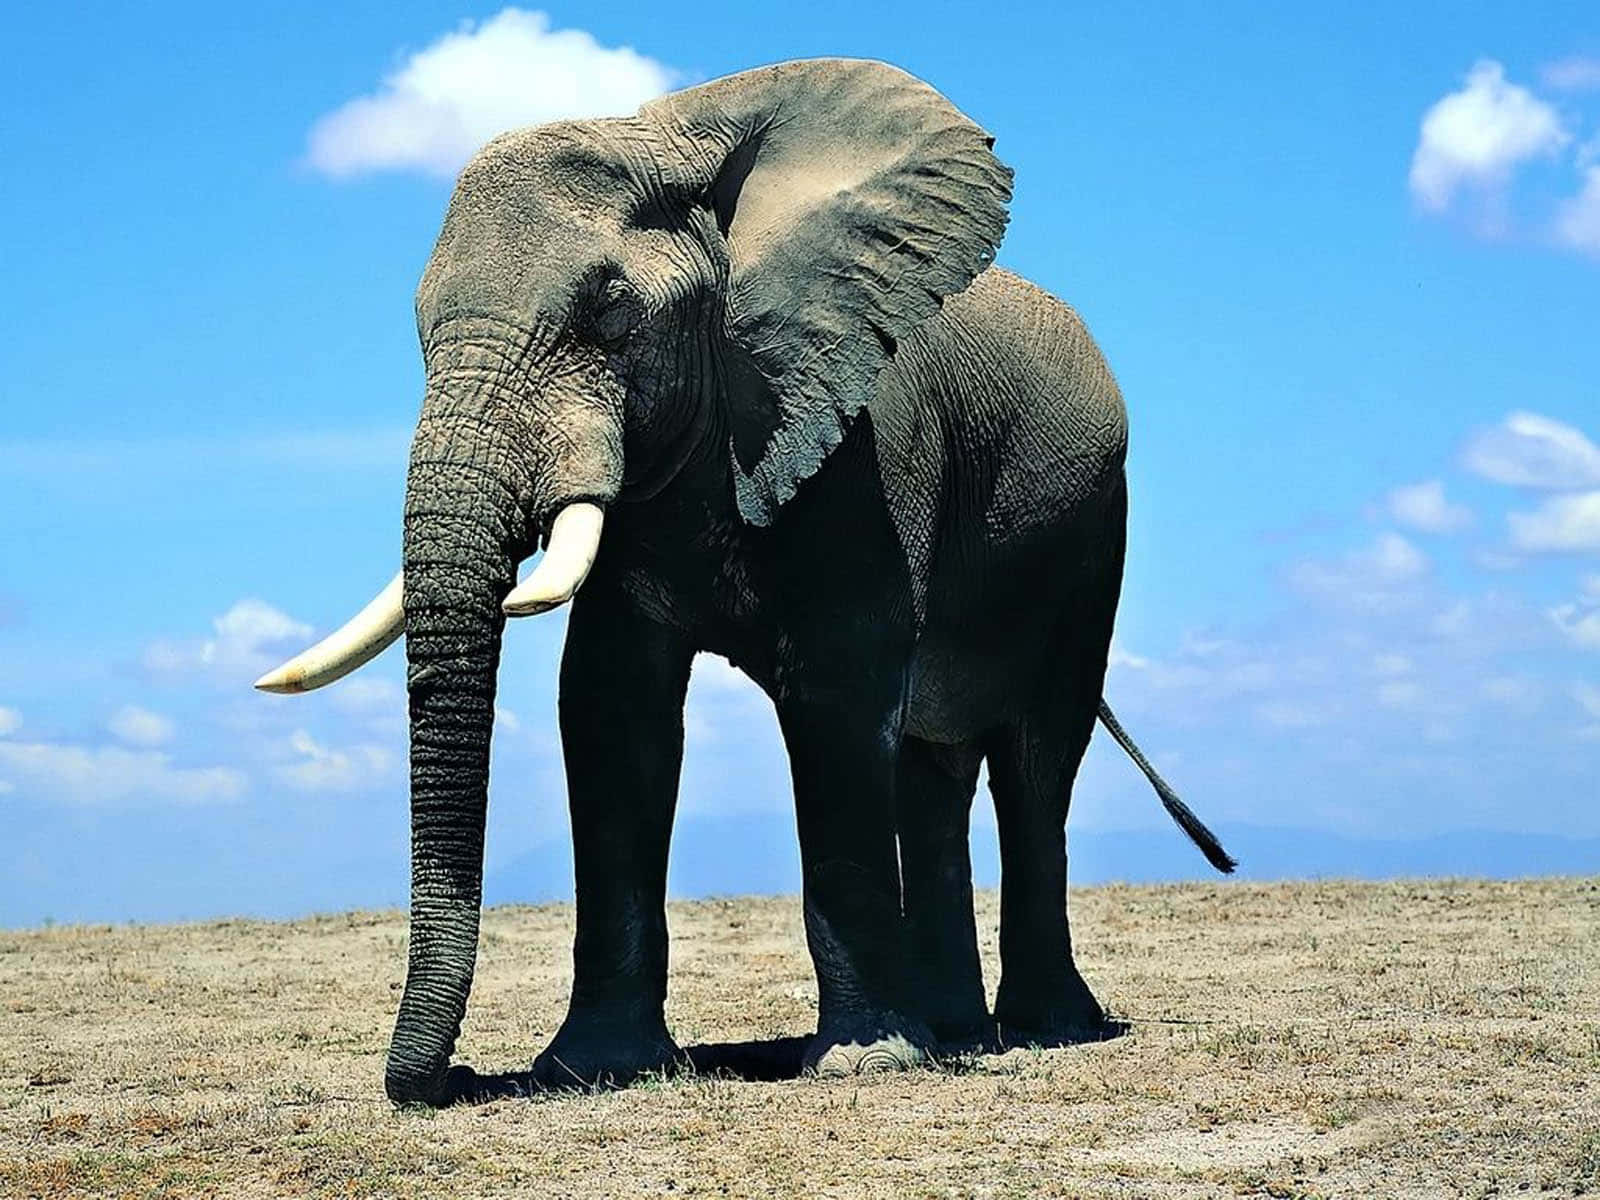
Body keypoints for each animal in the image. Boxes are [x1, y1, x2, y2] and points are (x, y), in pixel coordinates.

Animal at [257, 57, 1235, 1106]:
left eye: (611, 314)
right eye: (417, 331)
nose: (444, 1080)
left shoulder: (862, 436)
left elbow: (838, 700)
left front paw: (864, 1063)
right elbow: (609, 709)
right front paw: (593, 1067)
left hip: (1091, 535)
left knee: (1036, 757)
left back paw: (1043, 1028)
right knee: (930, 771)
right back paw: (956, 1033)